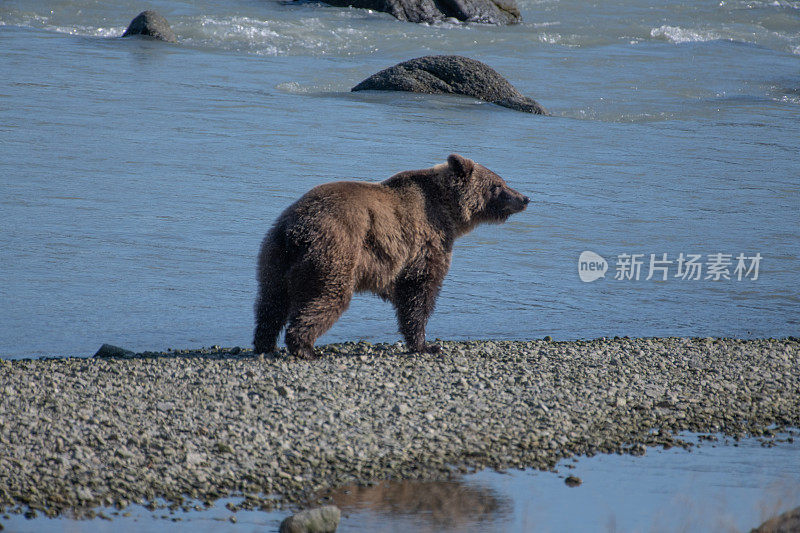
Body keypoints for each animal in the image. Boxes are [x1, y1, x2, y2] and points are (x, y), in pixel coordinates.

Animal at [256, 156, 528, 360]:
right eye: (498, 185)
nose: (524, 198)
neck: (449, 213)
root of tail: (296, 229)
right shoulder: (427, 240)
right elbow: (419, 291)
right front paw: (427, 345)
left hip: (274, 254)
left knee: (271, 301)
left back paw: (265, 343)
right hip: (336, 250)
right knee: (325, 296)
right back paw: (305, 348)